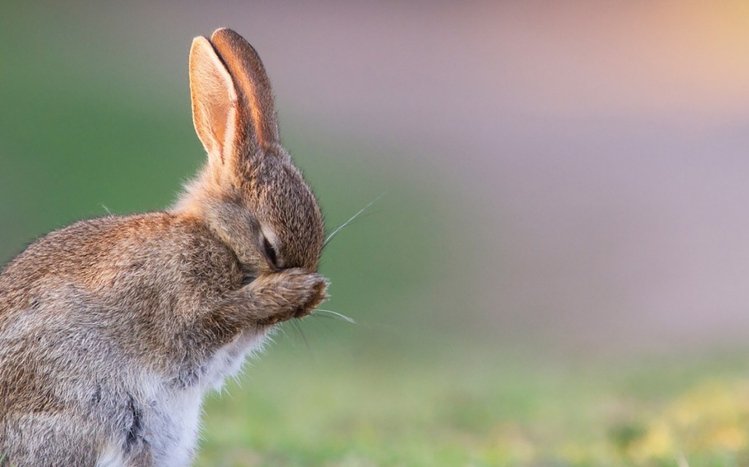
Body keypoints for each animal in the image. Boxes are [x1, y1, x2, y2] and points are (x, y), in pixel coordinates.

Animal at [0, 27, 328, 466]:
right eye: (270, 248)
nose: (308, 300)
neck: (218, 237)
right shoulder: (187, 305)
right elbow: (219, 315)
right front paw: (293, 290)